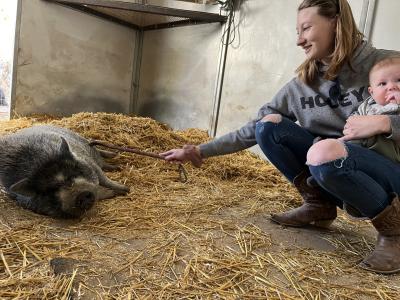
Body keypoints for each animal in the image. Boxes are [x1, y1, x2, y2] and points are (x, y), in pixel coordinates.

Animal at [0, 124, 129, 218]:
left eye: (74, 172)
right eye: (50, 191)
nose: (81, 195)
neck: (38, 161)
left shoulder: (89, 162)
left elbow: (104, 179)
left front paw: (126, 189)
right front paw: (115, 192)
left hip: (84, 141)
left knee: (97, 149)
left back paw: (115, 160)